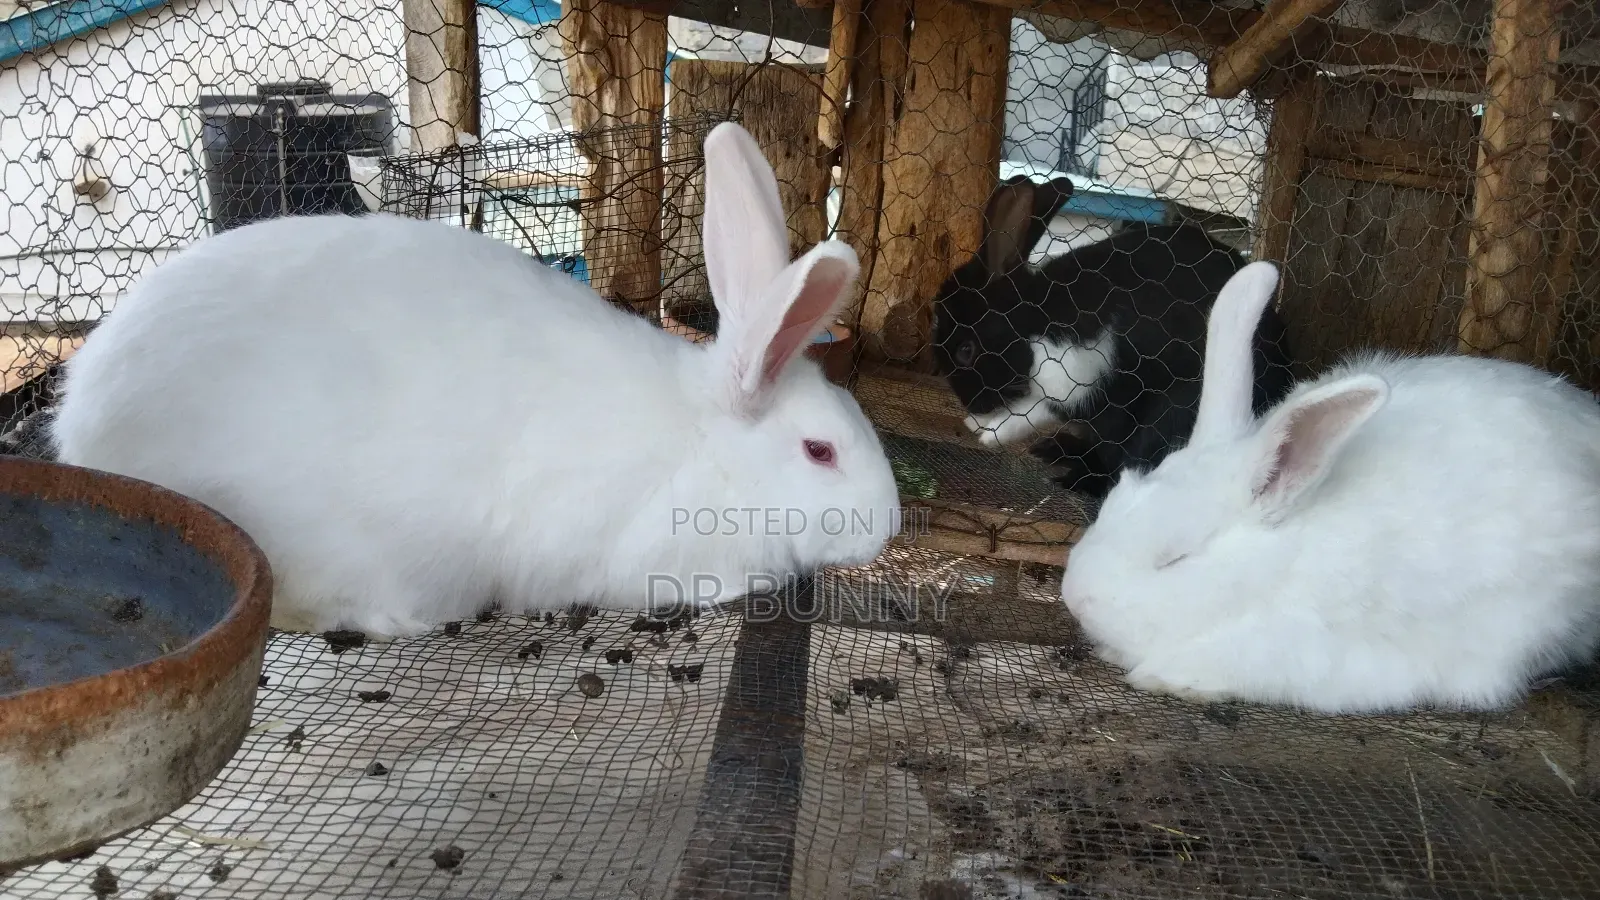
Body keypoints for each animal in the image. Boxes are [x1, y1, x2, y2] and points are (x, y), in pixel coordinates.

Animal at [929, 174, 1296, 500]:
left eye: (965, 350)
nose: (972, 404)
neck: (1035, 319)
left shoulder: (1082, 379)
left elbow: (1038, 414)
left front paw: (989, 432)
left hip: (1170, 412)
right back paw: (1059, 449)